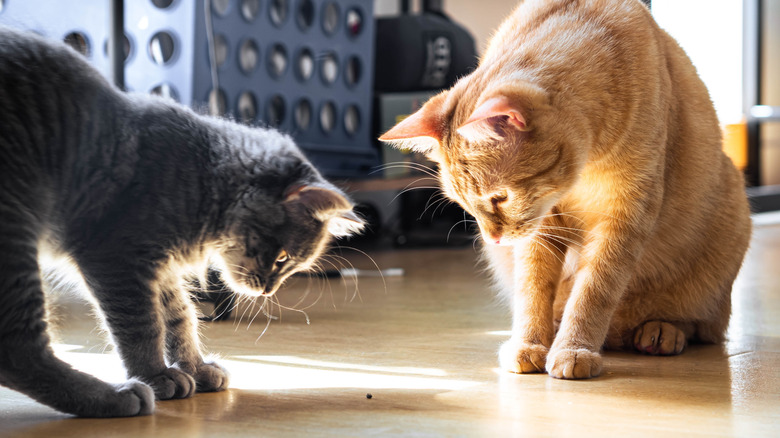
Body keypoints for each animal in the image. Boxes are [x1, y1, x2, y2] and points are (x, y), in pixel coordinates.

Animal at [0, 27, 362, 418]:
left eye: (293, 266)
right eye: (282, 257)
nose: (268, 290)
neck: (203, 176)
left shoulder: (160, 268)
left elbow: (179, 318)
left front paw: (194, 367)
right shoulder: (118, 260)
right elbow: (143, 326)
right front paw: (156, 375)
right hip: (16, 228)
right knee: (17, 349)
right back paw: (117, 396)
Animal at [380, 0, 752, 378]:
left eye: (500, 197)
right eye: (466, 204)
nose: (494, 239)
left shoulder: (625, 216)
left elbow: (593, 291)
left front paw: (574, 348)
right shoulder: (541, 229)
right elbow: (533, 289)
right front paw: (531, 343)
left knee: (699, 325)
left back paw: (661, 331)